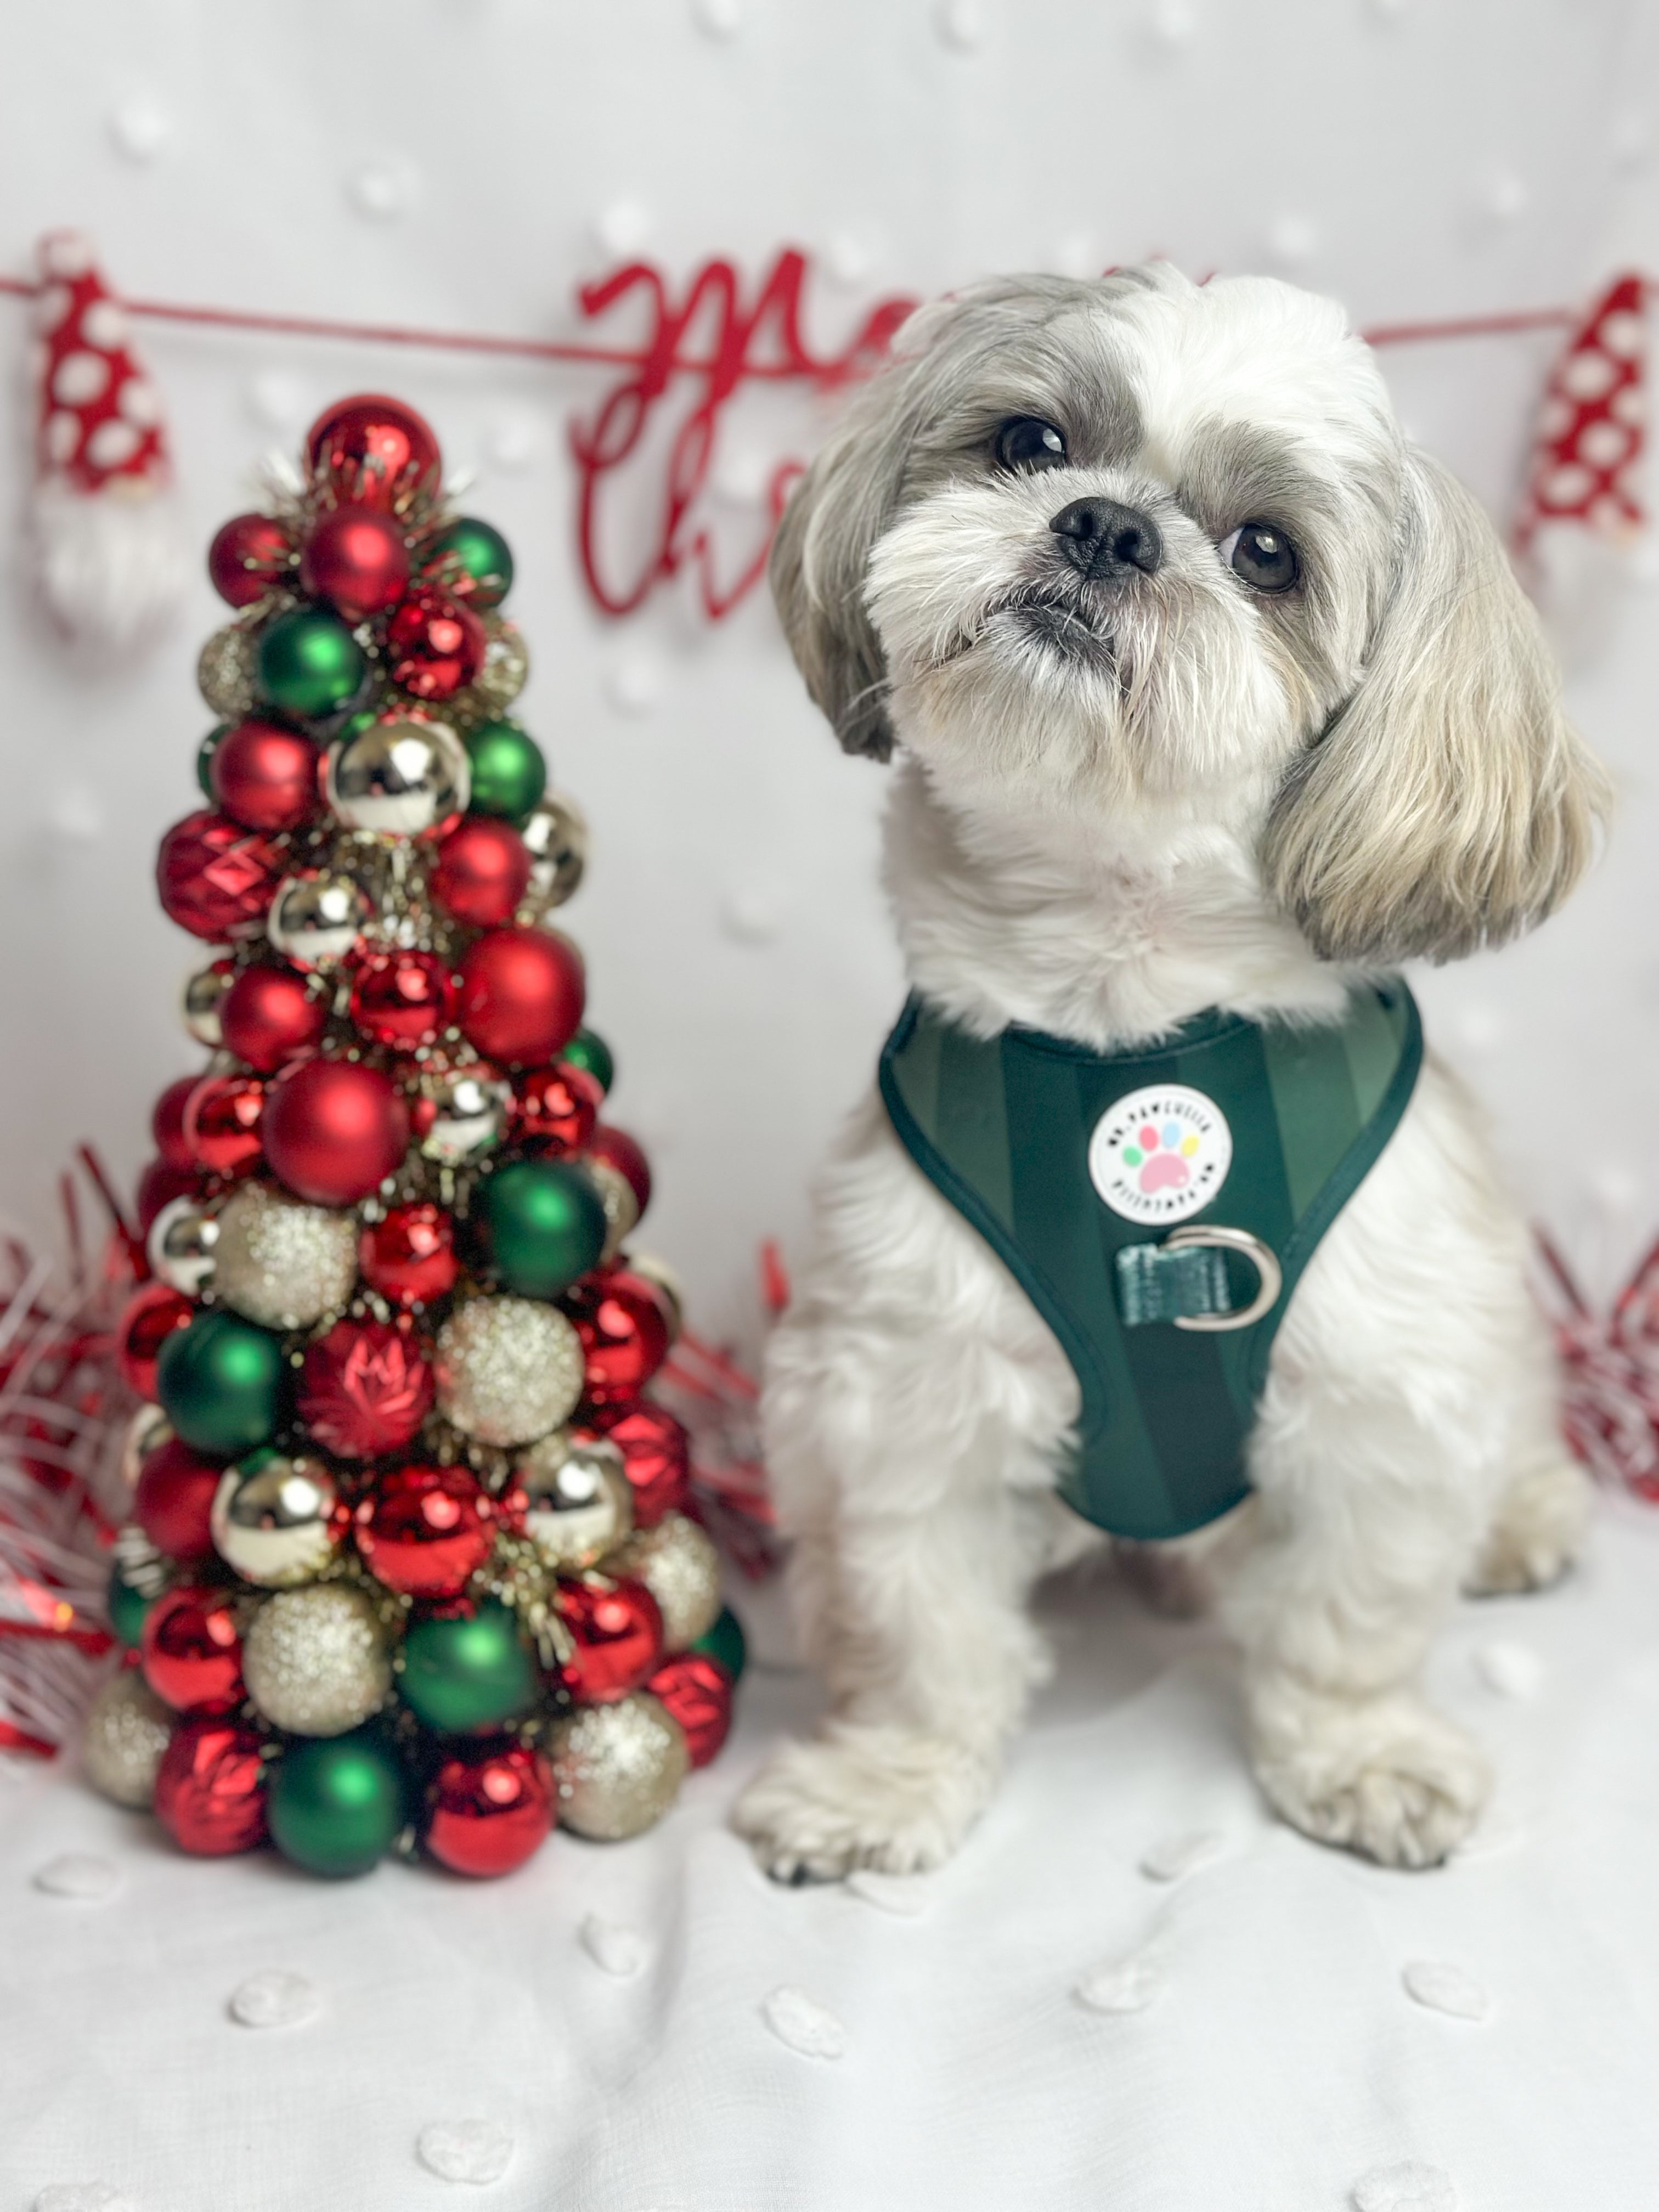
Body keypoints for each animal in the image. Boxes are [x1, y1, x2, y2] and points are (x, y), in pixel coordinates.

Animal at [732, 263, 1610, 1881]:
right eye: (1030, 443)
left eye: (1267, 554)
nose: (1105, 525)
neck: (1127, 1019)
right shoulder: (907, 1389)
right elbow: (920, 1629)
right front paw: (883, 1782)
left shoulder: (1386, 1386)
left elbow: (1349, 1617)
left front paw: (1363, 1753)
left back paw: (1520, 1517)